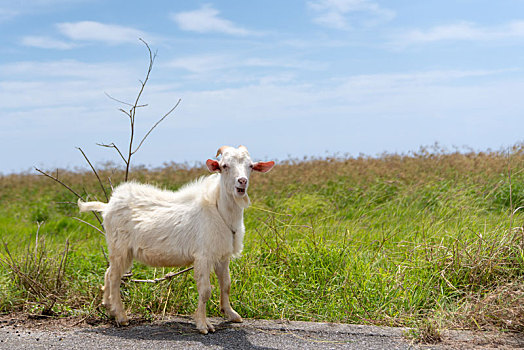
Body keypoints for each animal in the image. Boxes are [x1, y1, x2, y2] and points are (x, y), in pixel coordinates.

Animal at [79, 145, 274, 334]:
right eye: (224, 166)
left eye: (250, 166)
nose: (242, 181)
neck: (219, 211)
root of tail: (107, 206)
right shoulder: (203, 256)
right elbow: (205, 291)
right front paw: (203, 325)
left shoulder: (222, 255)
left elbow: (226, 285)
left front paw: (231, 314)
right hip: (120, 247)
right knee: (114, 276)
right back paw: (121, 316)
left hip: (121, 250)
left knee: (109, 272)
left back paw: (109, 307)